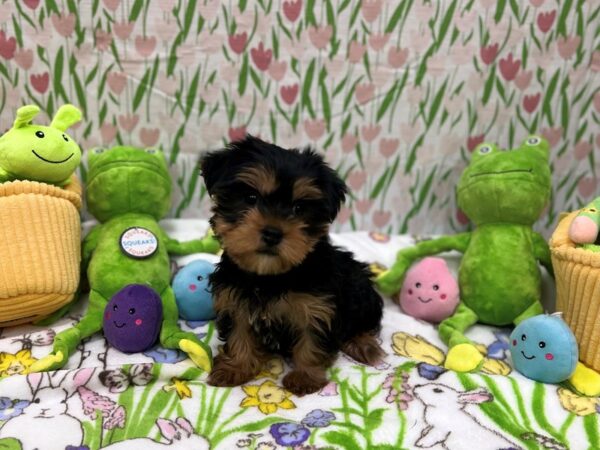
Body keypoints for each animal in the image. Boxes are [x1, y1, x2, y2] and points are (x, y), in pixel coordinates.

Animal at [199, 135, 382, 396]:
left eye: (299, 208)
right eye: (251, 198)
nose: (273, 233)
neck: (269, 276)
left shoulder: (317, 307)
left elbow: (311, 342)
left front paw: (305, 377)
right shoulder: (234, 299)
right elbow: (239, 334)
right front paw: (235, 367)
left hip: (360, 289)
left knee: (364, 321)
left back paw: (364, 345)